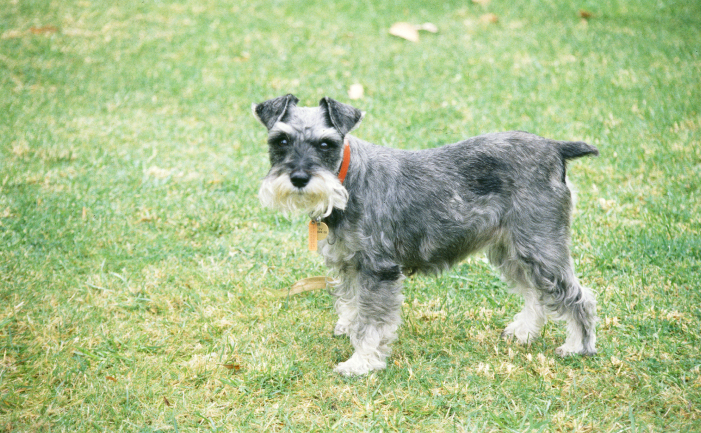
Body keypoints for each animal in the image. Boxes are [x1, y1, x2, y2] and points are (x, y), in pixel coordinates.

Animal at [254, 94, 600, 374]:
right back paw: (524, 331)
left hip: (541, 247)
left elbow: (372, 323)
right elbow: (352, 302)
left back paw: (577, 347)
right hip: (512, 250)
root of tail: (554, 148)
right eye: (280, 141)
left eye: (326, 144)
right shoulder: (349, 263)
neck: (348, 178)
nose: (299, 178)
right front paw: (348, 326)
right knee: (535, 294)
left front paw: (361, 362)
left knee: (577, 296)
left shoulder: (378, 269)